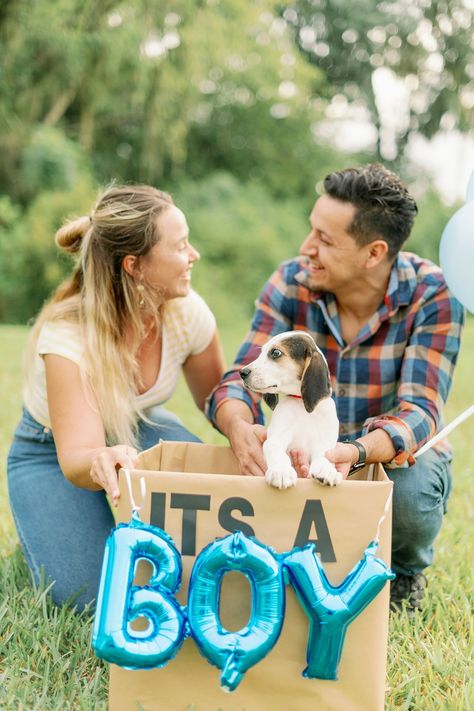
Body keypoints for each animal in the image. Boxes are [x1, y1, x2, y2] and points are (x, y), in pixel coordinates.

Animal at [241, 332, 340, 490]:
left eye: (276, 352)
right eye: (261, 351)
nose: (242, 372)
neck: (301, 404)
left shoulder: (324, 444)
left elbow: (324, 457)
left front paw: (326, 470)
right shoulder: (275, 439)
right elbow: (278, 454)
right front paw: (281, 471)